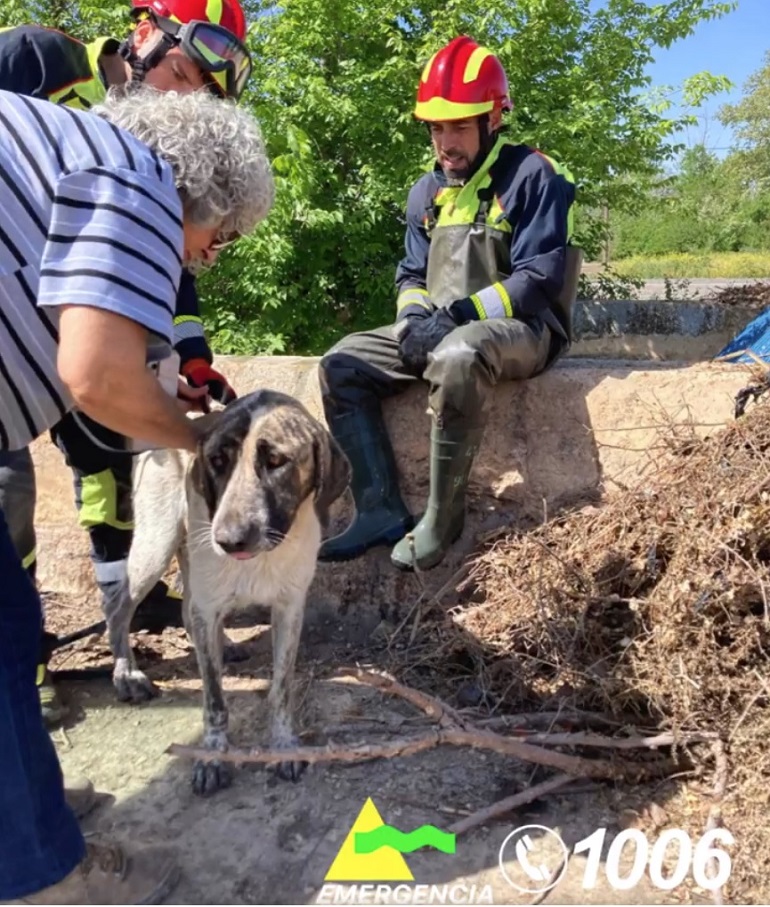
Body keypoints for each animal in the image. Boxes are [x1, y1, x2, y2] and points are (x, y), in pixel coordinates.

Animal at [103, 388, 350, 796]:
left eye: (276, 461)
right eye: (217, 461)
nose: (228, 541)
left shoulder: (289, 608)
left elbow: (281, 688)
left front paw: (283, 746)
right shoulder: (209, 604)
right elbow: (215, 699)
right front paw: (213, 756)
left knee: (184, 612)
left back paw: (226, 645)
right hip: (157, 547)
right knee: (118, 606)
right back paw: (127, 674)